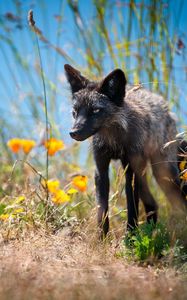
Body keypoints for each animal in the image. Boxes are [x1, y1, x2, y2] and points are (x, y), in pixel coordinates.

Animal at [64, 63, 187, 237]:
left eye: (95, 110)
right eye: (75, 111)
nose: (73, 132)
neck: (114, 141)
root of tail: (164, 105)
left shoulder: (130, 172)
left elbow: (132, 209)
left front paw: (130, 237)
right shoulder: (101, 170)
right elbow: (102, 211)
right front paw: (101, 239)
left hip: (162, 174)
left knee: (178, 202)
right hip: (145, 175)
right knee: (152, 205)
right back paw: (151, 232)